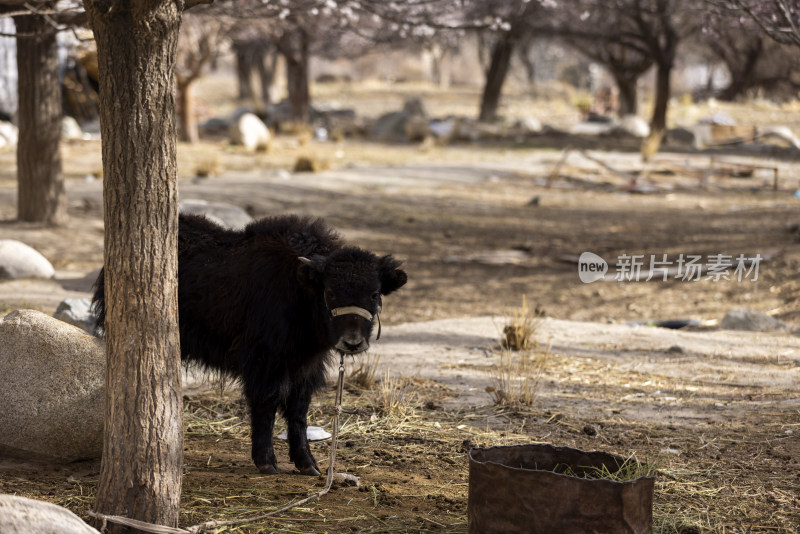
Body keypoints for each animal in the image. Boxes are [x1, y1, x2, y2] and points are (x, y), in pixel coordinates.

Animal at [93, 215, 406, 478]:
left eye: (374, 293)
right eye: (329, 292)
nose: (352, 342)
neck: (300, 294)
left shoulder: (306, 366)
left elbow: (298, 410)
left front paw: (308, 464)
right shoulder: (264, 361)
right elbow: (266, 404)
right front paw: (266, 462)